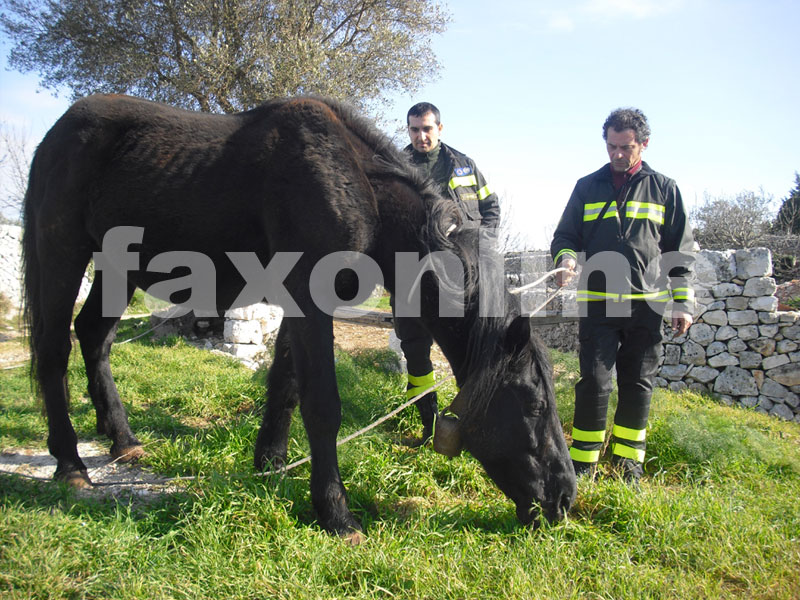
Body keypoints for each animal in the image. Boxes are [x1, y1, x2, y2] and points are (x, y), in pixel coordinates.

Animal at [21, 95, 572, 540]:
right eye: (534, 404)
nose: (565, 495)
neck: (357, 185)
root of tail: (56, 133)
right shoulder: (310, 299)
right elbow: (322, 403)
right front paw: (335, 513)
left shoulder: (296, 302)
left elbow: (284, 384)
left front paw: (271, 463)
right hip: (63, 253)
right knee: (53, 351)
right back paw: (70, 463)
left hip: (118, 269)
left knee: (94, 337)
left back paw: (122, 440)